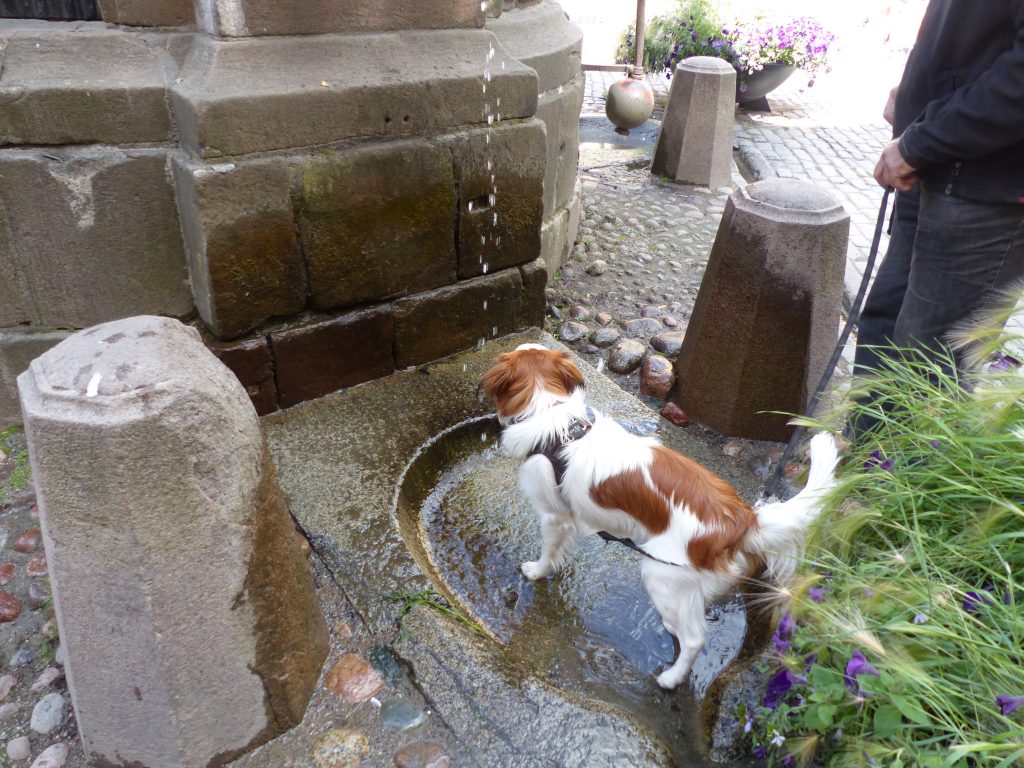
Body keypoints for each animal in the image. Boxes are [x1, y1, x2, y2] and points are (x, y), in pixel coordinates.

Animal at [479, 346, 839, 688]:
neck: (555, 416)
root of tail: (741, 517)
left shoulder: (554, 516)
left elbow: (547, 551)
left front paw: (536, 571)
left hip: (660, 572)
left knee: (695, 639)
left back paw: (672, 678)